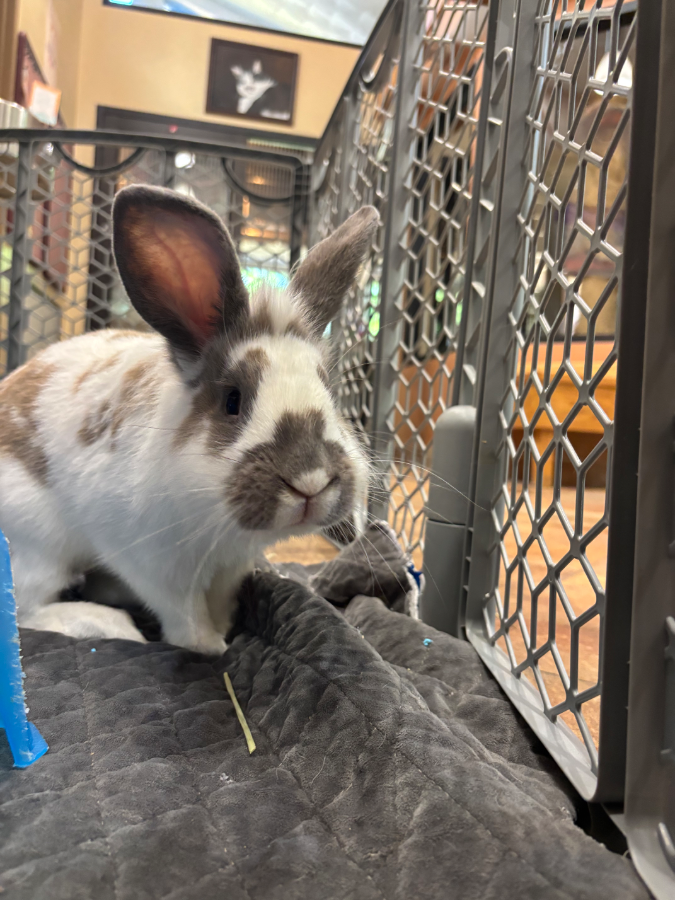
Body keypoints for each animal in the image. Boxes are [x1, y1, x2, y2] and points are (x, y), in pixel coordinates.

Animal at [0, 185, 376, 655]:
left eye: (328, 389)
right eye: (232, 400)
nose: (310, 480)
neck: (222, 526)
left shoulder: (230, 565)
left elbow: (219, 598)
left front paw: (228, 624)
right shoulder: (153, 563)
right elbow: (184, 615)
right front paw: (212, 646)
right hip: (41, 542)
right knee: (26, 608)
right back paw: (108, 623)